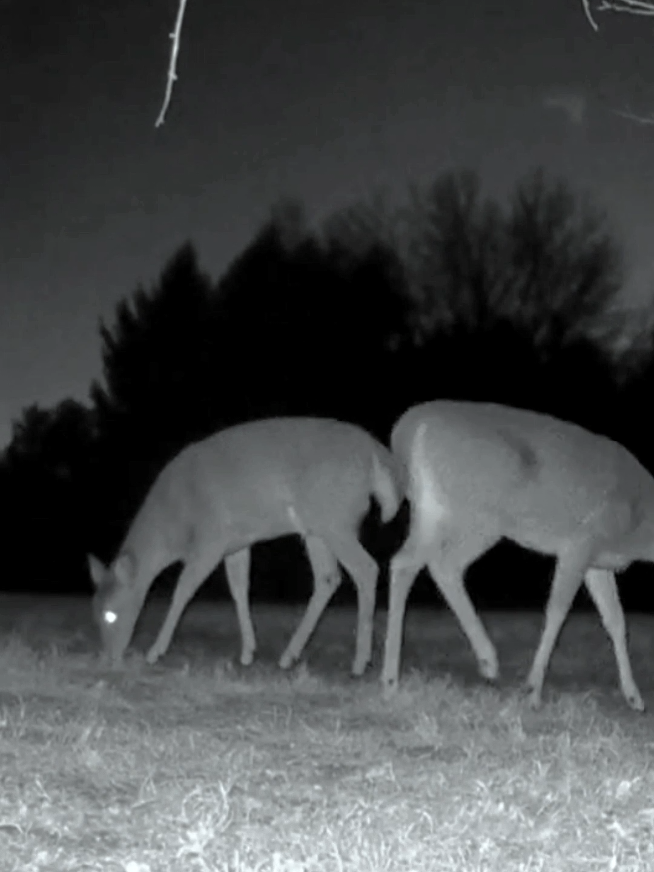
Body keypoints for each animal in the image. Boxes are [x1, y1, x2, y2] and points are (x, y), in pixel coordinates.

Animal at [89, 417, 401, 674]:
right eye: (95, 612)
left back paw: (359, 662)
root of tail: (375, 451)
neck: (173, 524)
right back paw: (289, 656)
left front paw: (155, 651)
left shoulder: (211, 538)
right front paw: (248, 652)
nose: (108, 658)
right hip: (317, 527)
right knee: (328, 577)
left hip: (335, 518)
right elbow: (239, 590)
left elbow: (183, 590)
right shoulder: (236, 543)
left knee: (366, 568)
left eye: (111, 614)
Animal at [381, 400, 650, 711]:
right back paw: (392, 679)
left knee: (427, 563)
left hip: (435, 510)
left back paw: (486, 660)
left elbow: (616, 620)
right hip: (474, 515)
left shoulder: (598, 562)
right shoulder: (579, 543)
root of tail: (408, 428)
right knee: (421, 562)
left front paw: (634, 696)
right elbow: (557, 611)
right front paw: (533, 691)